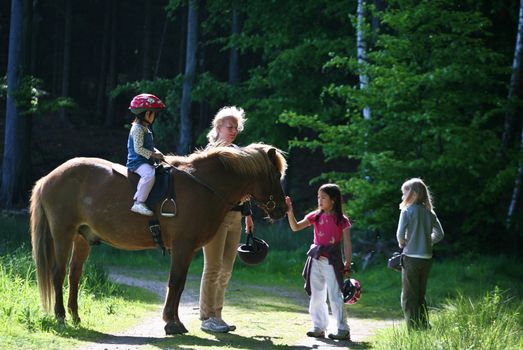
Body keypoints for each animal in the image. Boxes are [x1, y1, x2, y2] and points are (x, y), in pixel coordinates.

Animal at [30, 142, 288, 334]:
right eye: (276, 174)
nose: (282, 210)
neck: (203, 186)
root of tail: (49, 178)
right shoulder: (183, 246)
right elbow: (176, 282)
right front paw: (172, 323)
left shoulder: (187, 249)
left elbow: (179, 284)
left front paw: (174, 321)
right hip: (63, 235)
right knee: (58, 273)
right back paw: (61, 316)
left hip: (81, 239)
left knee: (74, 276)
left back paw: (75, 316)